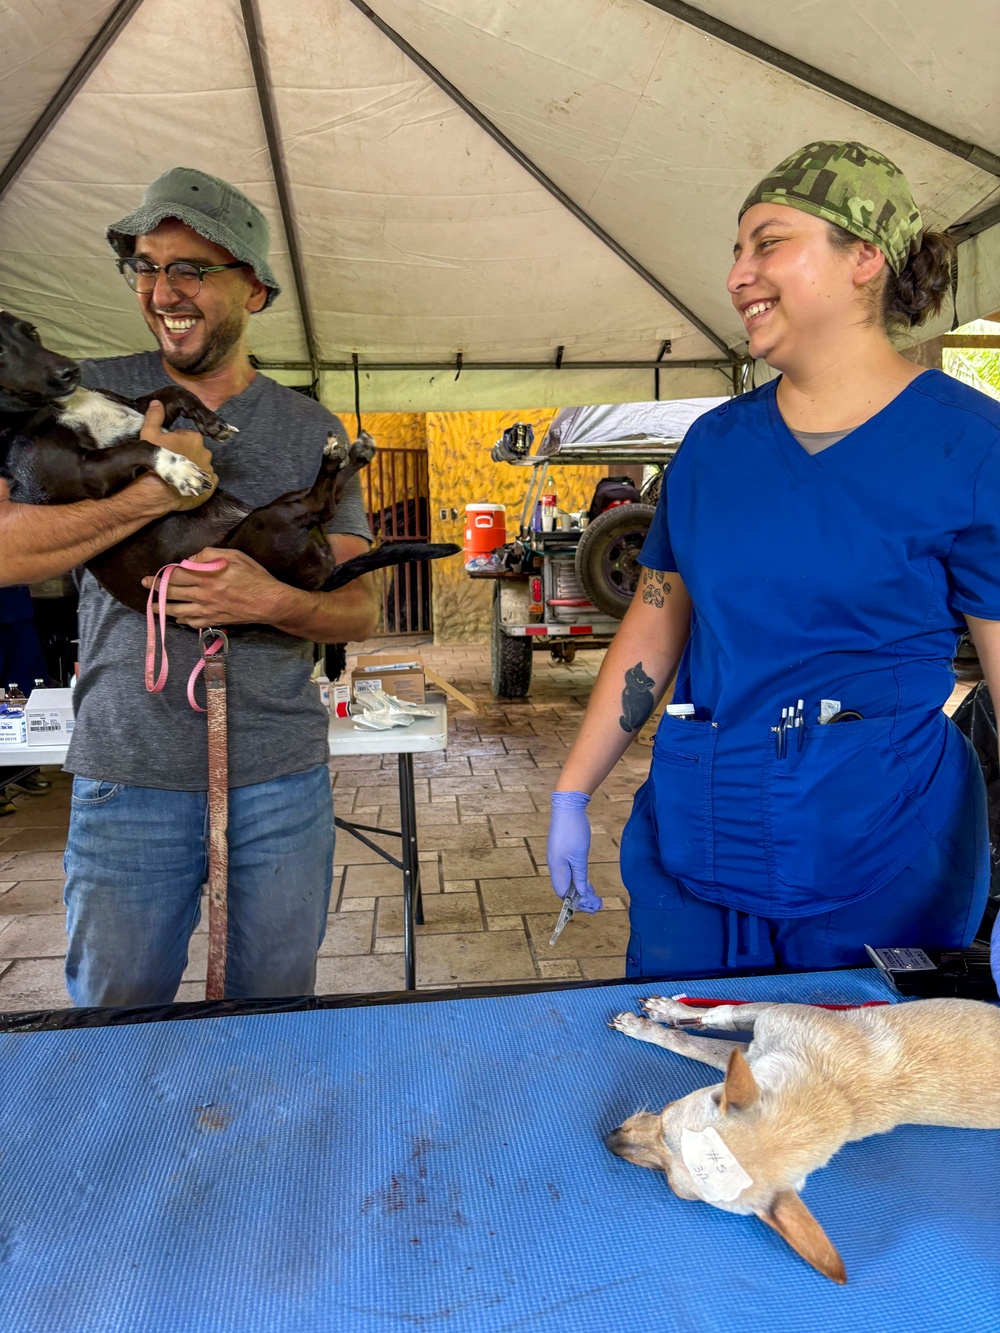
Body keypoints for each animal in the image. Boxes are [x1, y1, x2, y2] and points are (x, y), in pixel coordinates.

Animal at [0, 307, 461, 613]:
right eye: (2, 350)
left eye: (33, 331)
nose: (71, 371)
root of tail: (322, 580)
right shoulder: (87, 472)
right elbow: (141, 447)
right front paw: (180, 469)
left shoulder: (140, 409)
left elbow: (173, 390)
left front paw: (212, 421)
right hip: (266, 523)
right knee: (321, 503)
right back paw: (338, 457)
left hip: (274, 508)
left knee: (327, 499)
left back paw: (353, 454)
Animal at [602, 1002, 1000, 1279]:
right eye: (666, 1112)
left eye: (672, 1184)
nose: (610, 1140)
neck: (836, 1091)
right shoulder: (764, 1023)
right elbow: (718, 1017)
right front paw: (668, 1014)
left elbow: (693, 1039)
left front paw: (661, 1025)